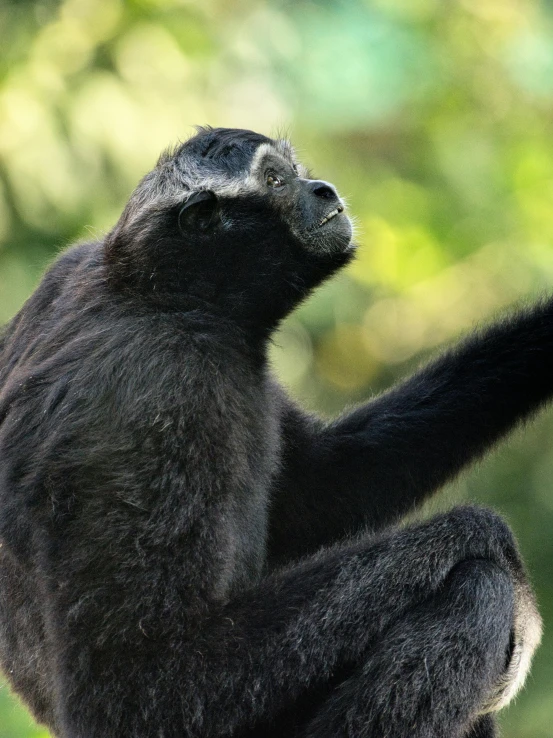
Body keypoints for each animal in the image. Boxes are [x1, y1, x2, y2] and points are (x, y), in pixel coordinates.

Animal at [0, 128, 544, 736]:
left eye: (295, 171)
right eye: (276, 180)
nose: (322, 187)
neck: (153, 295)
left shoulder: (66, 271)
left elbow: (327, 488)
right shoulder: (151, 393)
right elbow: (142, 690)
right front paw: (489, 537)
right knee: (475, 594)